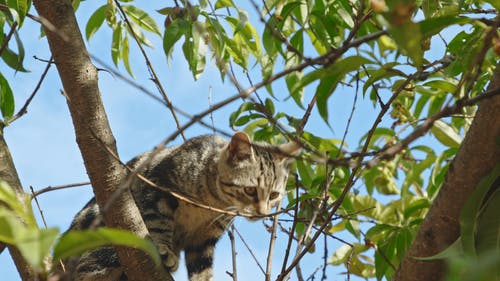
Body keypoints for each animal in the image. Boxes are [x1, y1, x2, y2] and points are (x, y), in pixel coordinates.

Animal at [57, 132, 302, 280]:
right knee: (88, 267)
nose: (262, 213)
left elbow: (202, 267)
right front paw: (164, 248)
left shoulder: (204, 238)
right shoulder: (157, 186)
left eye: (274, 195)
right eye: (250, 190)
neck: (210, 202)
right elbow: (158, 223)